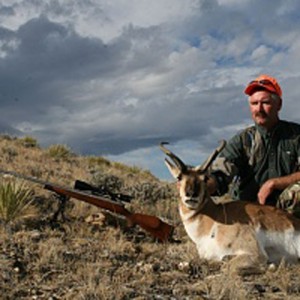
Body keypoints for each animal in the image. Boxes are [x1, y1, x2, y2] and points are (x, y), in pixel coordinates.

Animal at [161, 140, 300, 272]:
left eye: (205, 178)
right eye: (179, 177)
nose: (191, 194)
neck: (214, 220)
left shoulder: (256, 254)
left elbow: (228, 266)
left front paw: (271, 266)